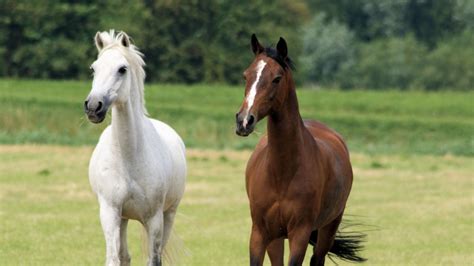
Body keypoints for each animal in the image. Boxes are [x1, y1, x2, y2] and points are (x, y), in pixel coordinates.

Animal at [85, 30, 187, 264]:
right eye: (94, 68)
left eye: (122, 69)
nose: (93, 107)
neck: (128, 156)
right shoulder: (110, 213)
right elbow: (114, 258)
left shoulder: (154, 219)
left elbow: (153, 259)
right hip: (123, 218)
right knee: (125, 256)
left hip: (169, 215)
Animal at [237, 34, 366, 264]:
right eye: (246, 76)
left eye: (277, 78)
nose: (244, 121)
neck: (282, 173)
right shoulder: (260, 232)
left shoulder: (300, 234)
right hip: (276, 237)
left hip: (329, 226)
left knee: (318, 258)